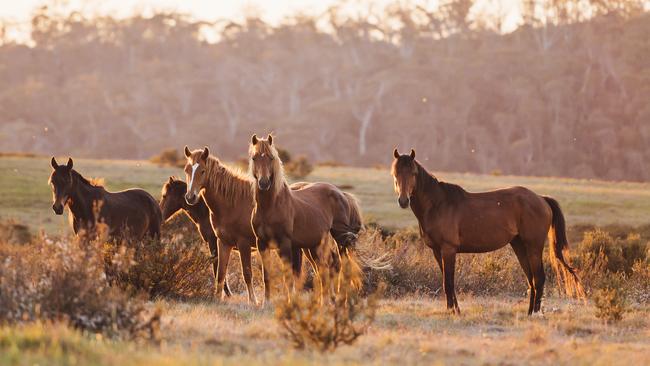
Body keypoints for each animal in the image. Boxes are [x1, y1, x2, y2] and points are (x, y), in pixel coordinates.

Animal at [182, 144, 304, 304]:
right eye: (187, 170)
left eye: (202, 170)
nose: (190, 197)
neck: (232, 203)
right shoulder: (223, 243)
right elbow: (221, 273)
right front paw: (217, 298)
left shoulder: (243, 244)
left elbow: (247, 274)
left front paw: (253, 301)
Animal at [248, 134, 368, 300]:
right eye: (254, 158)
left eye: (271, 158)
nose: (264, 183)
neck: (270, 207)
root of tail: (341, 193)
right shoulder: (262, 244)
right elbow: (267, 276)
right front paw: (266, 301)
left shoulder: (285, 243)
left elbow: (288, 276)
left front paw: (289, 301)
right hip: (314, 245)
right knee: (326, 267)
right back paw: (326, 299)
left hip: (340, 237)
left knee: (342, 264)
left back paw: (340, 296)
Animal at [390, 149, 584, 314]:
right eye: (395, 173)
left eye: (413, 173)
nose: (403, 200)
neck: (438, 204)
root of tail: (541, 199)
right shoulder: (437, 251)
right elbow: (447, 281)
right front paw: (453, 310)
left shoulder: (448, 249)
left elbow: (449, 283)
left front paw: (454, 312)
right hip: (519, 246)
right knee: (531, 280)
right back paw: (529, 313)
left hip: (533, 247)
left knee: (539, 279)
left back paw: (535, 314)